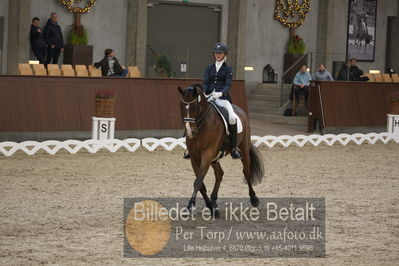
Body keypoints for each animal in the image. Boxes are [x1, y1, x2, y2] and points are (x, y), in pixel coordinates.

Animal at [178, 84, 266, 215]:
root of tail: (240, 111)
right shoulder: (195, 158)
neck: (202, 126)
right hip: (215, 158)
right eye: (181, 106)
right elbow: (201, 183)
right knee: (219, 174)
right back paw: (214, 200)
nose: (189, 132)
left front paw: (190, 206)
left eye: (194, 107)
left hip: (243, 150)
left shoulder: (207, 154)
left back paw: (254, 198)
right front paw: (210, 206)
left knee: (246, 172)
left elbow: (198, 181)